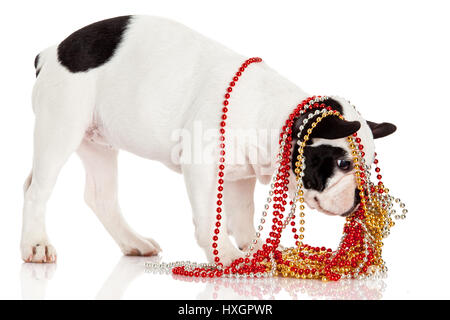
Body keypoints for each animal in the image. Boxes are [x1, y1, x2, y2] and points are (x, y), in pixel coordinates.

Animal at [22, 15, 396, 264]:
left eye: (367, 167)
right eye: (343, 163)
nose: (362, 196)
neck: (276, 115)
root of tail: (51, 52)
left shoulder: (241, 176)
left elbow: (242, 214)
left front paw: (253, 248)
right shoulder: (202, 167)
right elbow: (210, 220)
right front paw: (225, 256)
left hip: (98, 144)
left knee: (101, 196)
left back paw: (133, 242)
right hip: (61, 126)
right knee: (37, 190)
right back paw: (35, 245)